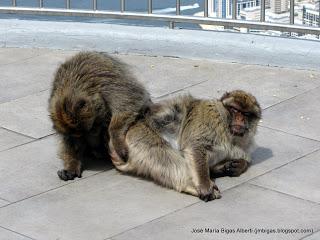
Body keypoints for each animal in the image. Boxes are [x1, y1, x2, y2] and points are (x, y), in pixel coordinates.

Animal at [48, 51, 151, 181]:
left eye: (92, 128)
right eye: (82, 134)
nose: (93, 134)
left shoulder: (106, 83)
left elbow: (131, 102)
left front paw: (116, 139)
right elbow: (70, 140)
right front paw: (72, 165)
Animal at [109, 91, 262, 202]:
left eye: (246, 114)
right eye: (235, 110)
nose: (240, 119)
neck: (230, 134)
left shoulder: (246, 145)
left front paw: (236, 166)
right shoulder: (211, 118)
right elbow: (195, 147)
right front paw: (204, 184)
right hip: (140, 137)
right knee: (164, 155)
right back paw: (189, 186)